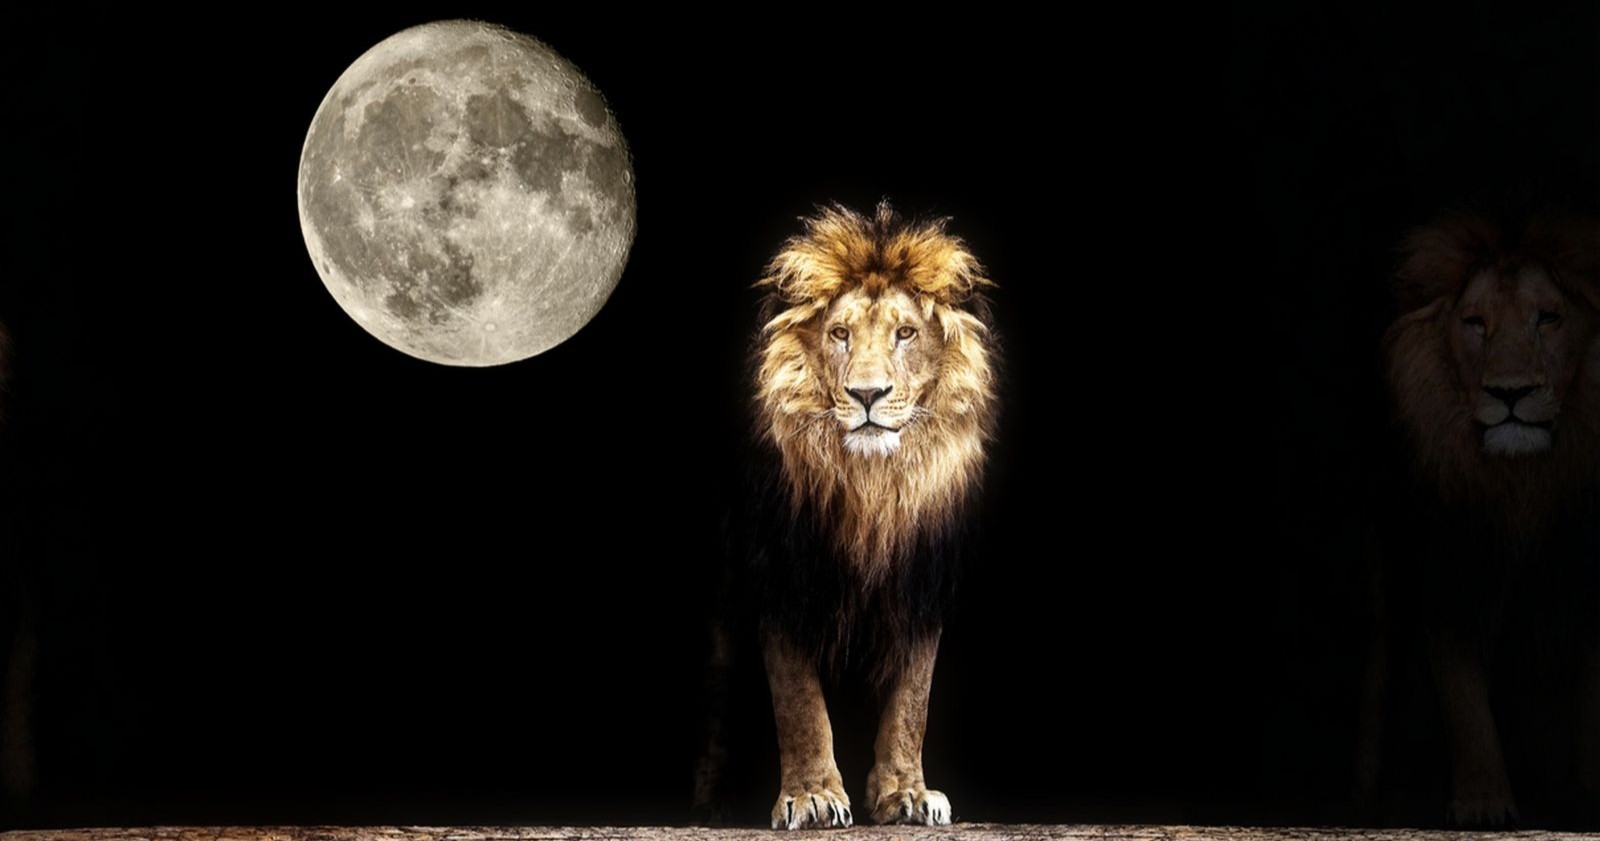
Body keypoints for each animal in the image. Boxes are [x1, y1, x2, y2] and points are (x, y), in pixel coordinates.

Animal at [696, 202, 998, 830]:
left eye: (905, 333)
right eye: (840, 334)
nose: (866, 394)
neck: (872, 487)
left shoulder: (920, 582)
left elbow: (913, 700)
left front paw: (906, 793)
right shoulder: (781, 572)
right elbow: (799, 701)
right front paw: (812, 796)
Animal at [1381, 210, 1600, 825]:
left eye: (1548, 318)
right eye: (1476, 323)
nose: (1510, 394)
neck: (1519, 485)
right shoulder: (1450, 570)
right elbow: (1463, 696)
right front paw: (1483, 800)